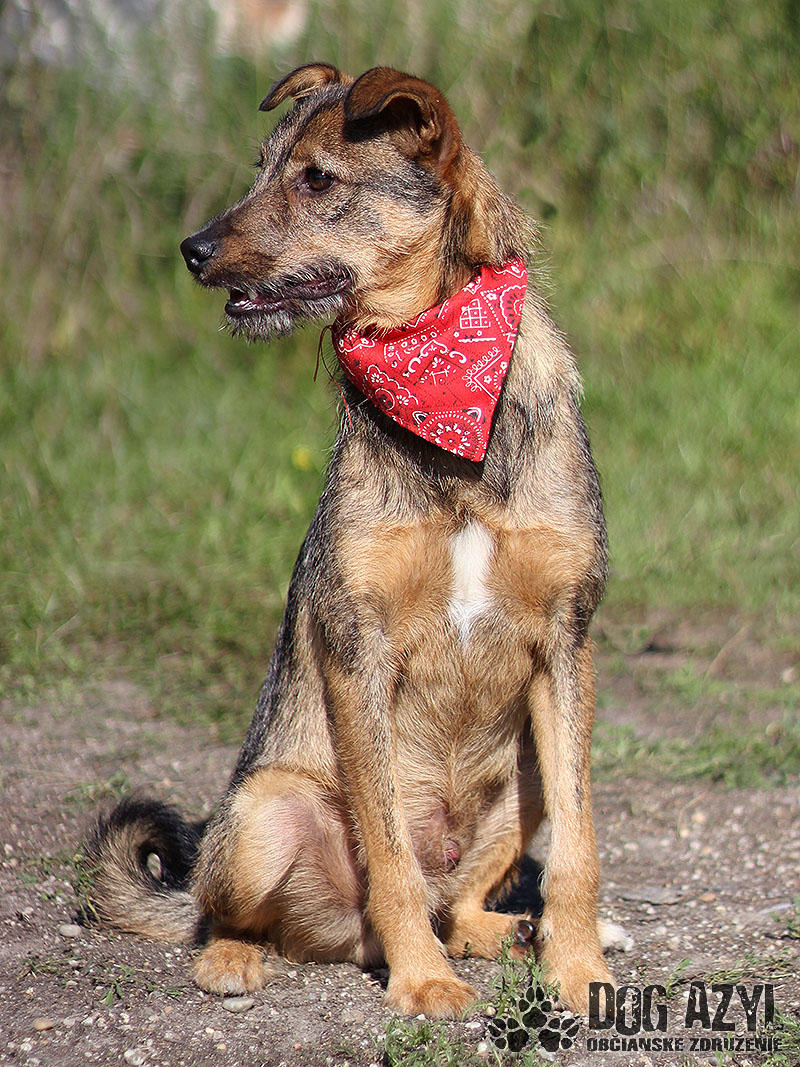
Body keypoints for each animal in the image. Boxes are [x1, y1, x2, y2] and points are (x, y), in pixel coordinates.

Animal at [87, 62, 617, 1018]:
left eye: (317, 179)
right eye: (261, 167)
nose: (192, 248)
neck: (443, 393)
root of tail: (340, 935)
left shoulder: (568, 640)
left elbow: (580, 852)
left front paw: (579, 967)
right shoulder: (354, 645)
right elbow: (390, 851)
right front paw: (423, 982)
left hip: (521, 776)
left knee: (458, 903)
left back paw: (507, 935)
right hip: (263, 809)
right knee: (235, 913)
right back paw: (239, 957)